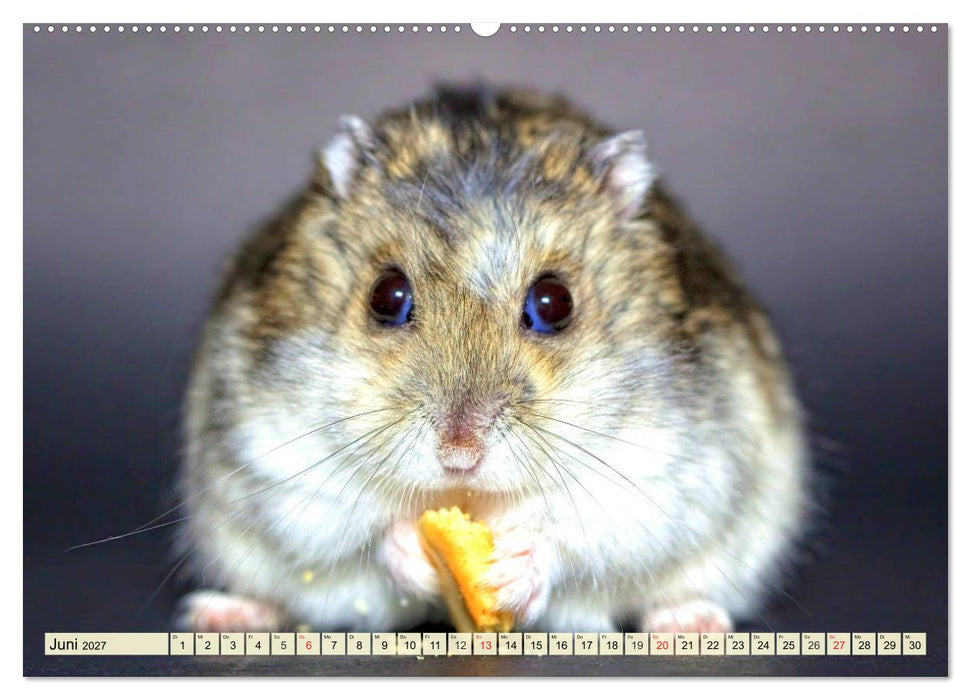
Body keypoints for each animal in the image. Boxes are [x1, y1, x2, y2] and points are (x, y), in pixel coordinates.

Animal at [175, 87, 810, 634]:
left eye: (554, 303)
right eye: (386, 296)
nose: (460, 456)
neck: (472, 497)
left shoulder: (664, 472)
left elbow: (577, 534)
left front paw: (511, 570)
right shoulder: (276, 459)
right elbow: (360, 531)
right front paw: (413, 548)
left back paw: (688, 624)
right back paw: (221, 614)